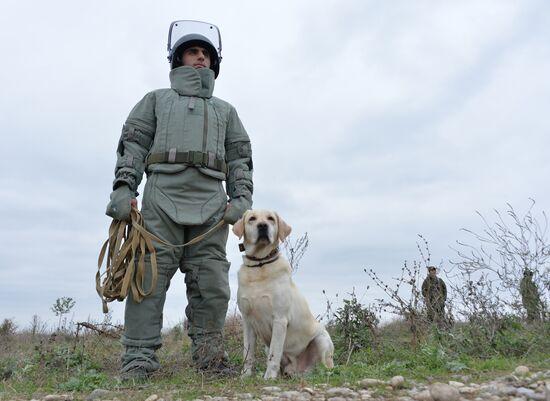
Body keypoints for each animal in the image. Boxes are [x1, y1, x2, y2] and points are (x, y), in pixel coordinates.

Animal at [234, 209, 336, 378]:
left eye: (271, 219)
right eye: (252, 219)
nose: (263, 226)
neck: (259, 265)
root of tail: (297, 370)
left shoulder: (279, 319)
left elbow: (274, 354)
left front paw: (269, 377)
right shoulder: (247, 321)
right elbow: (247, 354)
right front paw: (245, 376)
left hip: (322, 339)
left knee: (327, 366)